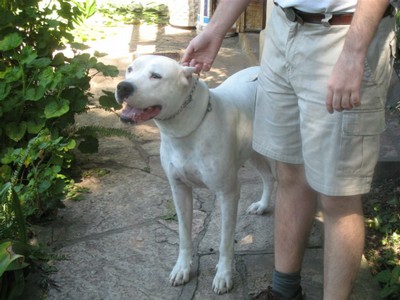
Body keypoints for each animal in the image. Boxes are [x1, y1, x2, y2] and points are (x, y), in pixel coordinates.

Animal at [114, 55, 274, 294]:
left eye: (156, 76)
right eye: (130, 69)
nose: (123, 86)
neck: (184, 129)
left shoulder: (228, 194)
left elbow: (225, 241)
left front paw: (223, 274)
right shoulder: (179, 190)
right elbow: (184, 233)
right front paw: (182, 268)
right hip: (253, 150)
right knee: (268, 176)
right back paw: (262, 205)